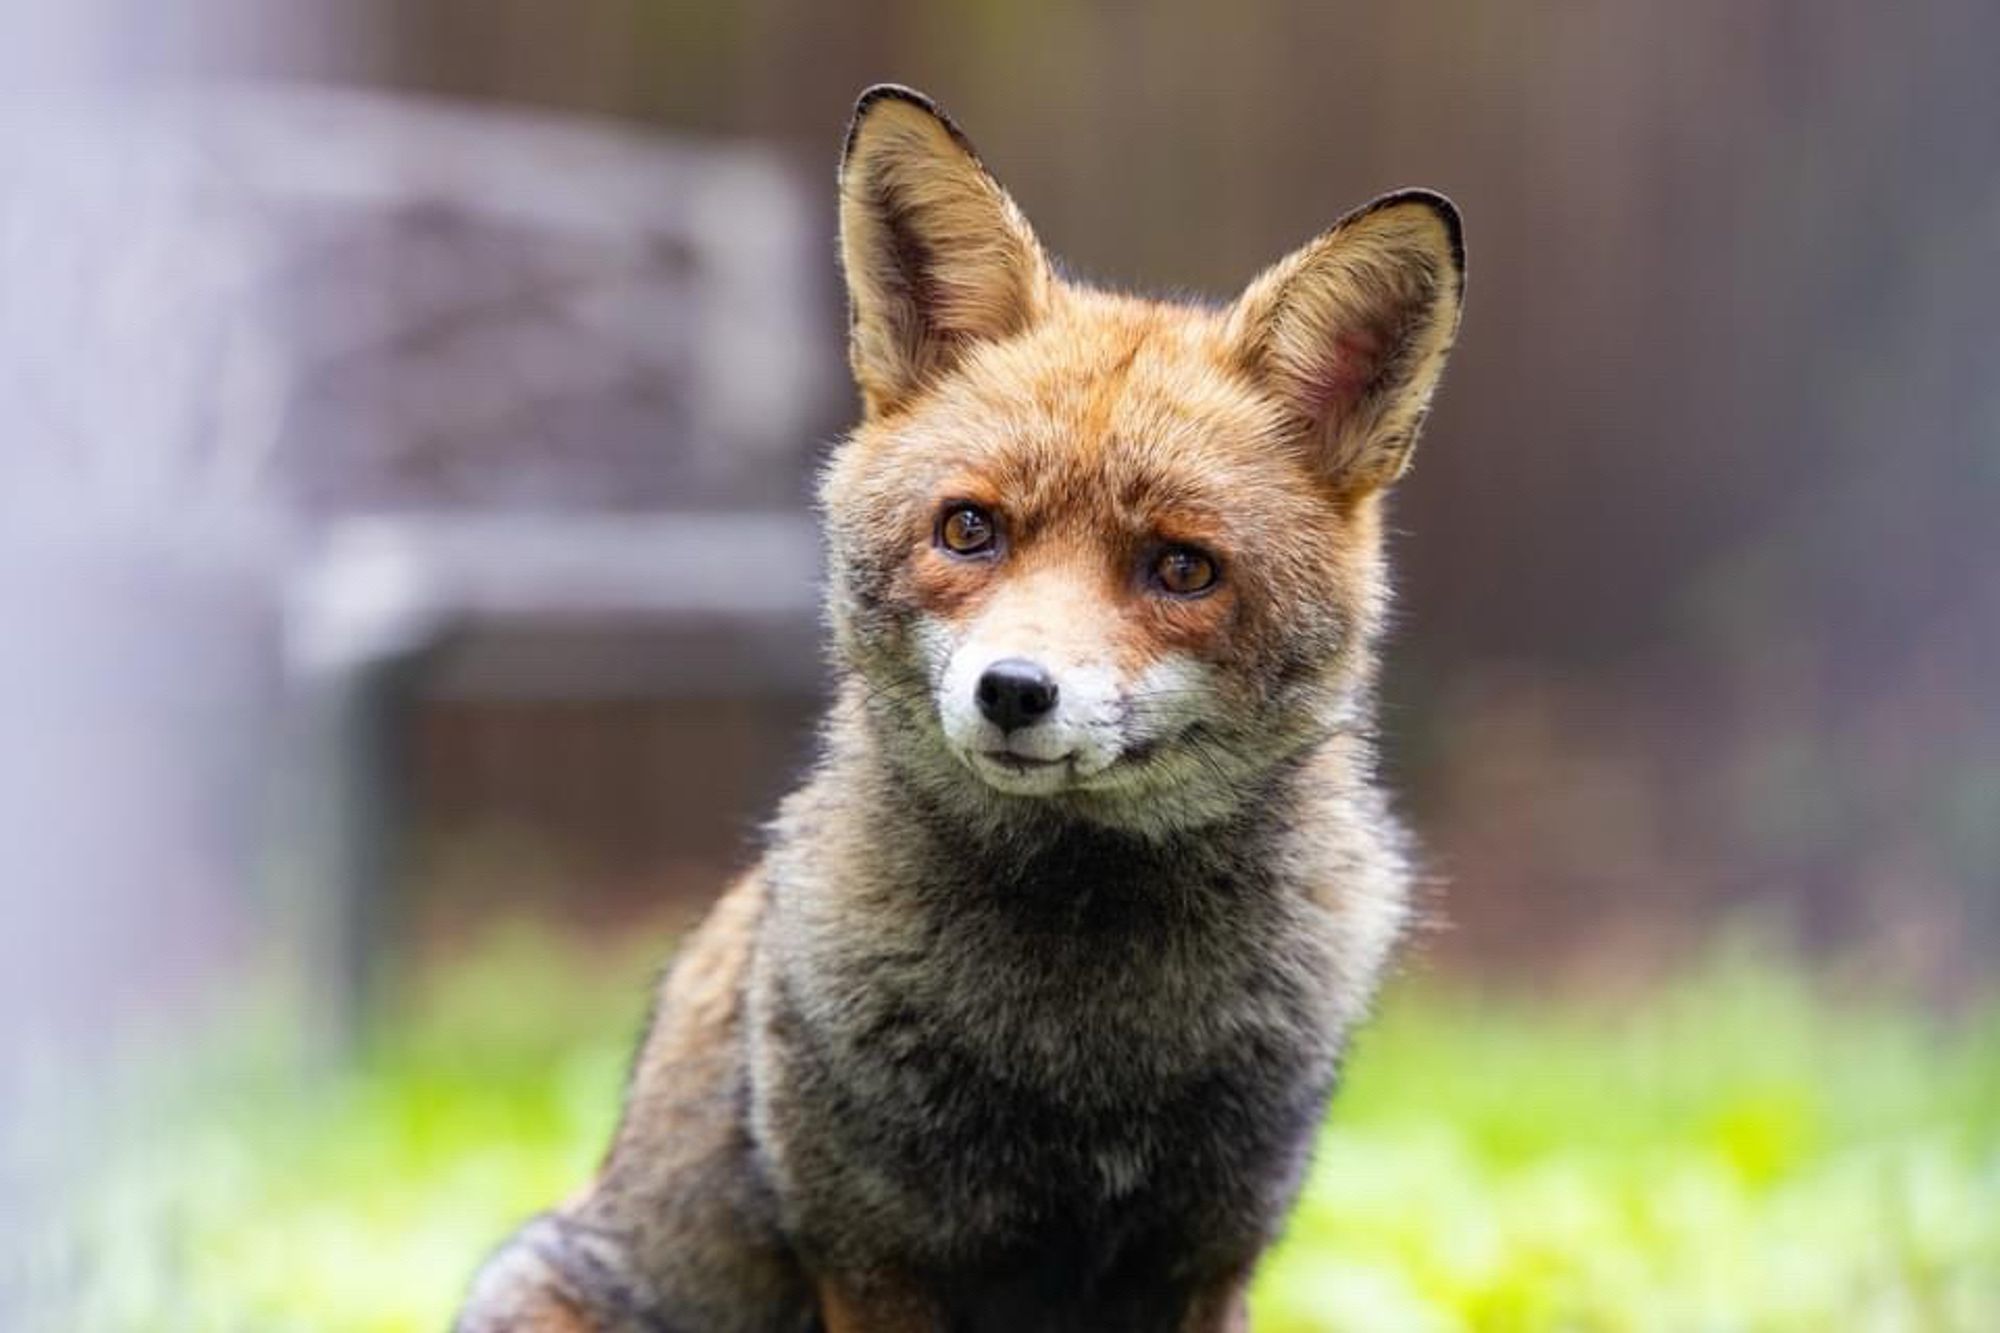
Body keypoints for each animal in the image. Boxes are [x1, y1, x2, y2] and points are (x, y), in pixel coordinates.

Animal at [454, 83, 1464, 1328]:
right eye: (968, 529)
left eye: (1181, 569)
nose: (1014, 690)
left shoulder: (1208, 1254)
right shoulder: (873, 1254)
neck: (1086, 1047)